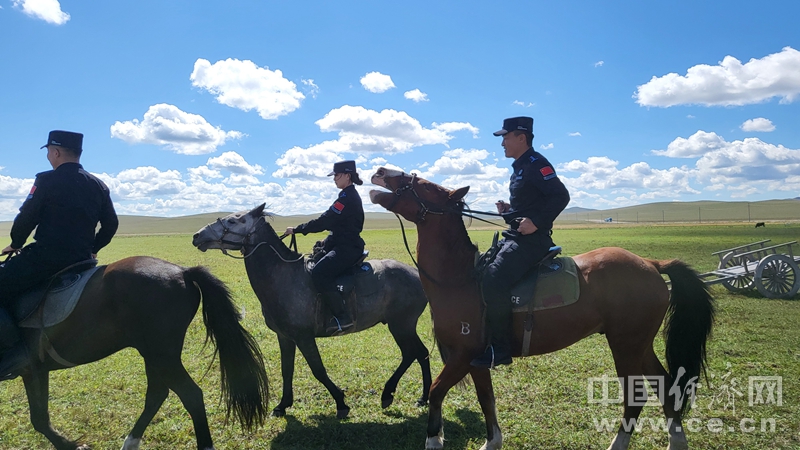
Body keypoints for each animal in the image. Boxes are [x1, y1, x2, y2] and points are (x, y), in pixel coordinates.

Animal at [0, 256, 268, 450]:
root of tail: (183, 271)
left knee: (190, 395)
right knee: (158, 394)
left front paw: (70, 446)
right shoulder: (35, 370)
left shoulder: (32, 369)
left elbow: (39, 419)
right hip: (153, 353)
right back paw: (130, 442)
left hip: (162, 355)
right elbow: (40, 417)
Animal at [192, 204, 432, 418]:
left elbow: (318, 370)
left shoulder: (304, 337)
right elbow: (286, 370)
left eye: (233, 220)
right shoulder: (285, 337)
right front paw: (282, 405)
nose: (196, 236)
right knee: (419, 353)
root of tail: (416, 272)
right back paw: (419, 397)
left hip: (401, 325)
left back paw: (392, 394)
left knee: (413, 353)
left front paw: (341, 403)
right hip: (402, 326)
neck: (283, 275)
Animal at [372, 168, 716, 450]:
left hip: (625, 345)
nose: (380, 171)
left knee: (637, 396)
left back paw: (618, 444)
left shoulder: (462, 355)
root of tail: (651, 264)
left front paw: (434, 438)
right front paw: (492, 442)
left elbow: (436, 391)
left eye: (422, 184)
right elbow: (487, 400)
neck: (461, 279)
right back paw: (676, 442)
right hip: (639, 344)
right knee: (666, 387)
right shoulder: (478, 360)